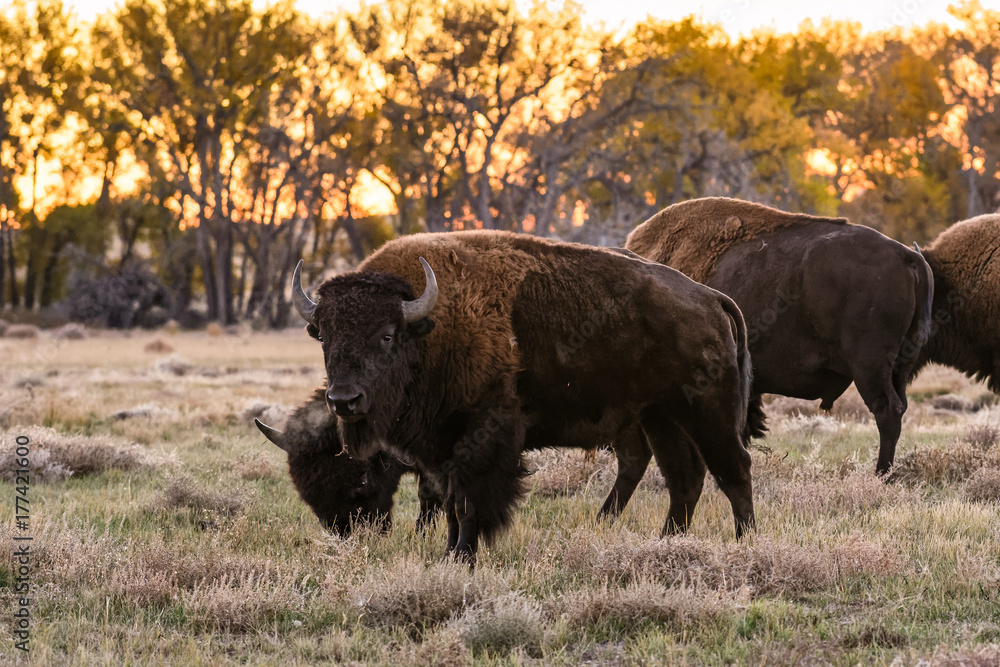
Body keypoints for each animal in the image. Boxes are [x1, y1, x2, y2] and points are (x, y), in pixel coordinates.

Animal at [292, 230, 752, 564]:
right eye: (324, 336)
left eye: (387, 335)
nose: (344, 401)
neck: (428, 327)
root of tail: (710, 299)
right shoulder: (441, 448)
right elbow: (449, 501)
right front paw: (449, 553)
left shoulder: (480, 439)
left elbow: (467, 502)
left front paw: (463, 557)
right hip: (660, 416)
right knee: (683, 478)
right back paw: (667, 543)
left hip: (707, 411)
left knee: (733, 469)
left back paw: (744, 541)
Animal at [624, 198, 936, 474]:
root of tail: (908, 256)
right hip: (899, 366)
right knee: (898, 408)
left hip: (869, 366)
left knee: (886, 410)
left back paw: (880, 474)